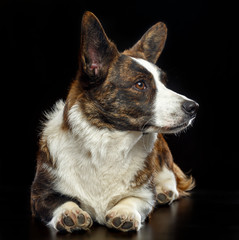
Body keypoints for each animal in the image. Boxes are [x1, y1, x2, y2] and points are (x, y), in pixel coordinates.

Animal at [30, 11, 199, 232]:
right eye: (140, 84)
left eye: (164, 83)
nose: (194, 107)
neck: (107, 142)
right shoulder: (39, 195)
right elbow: (60, 201)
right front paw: (70, 213)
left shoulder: (144, 196)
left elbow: (135, 199)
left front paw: (124, 212)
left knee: (170, 173)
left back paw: (164, 190)